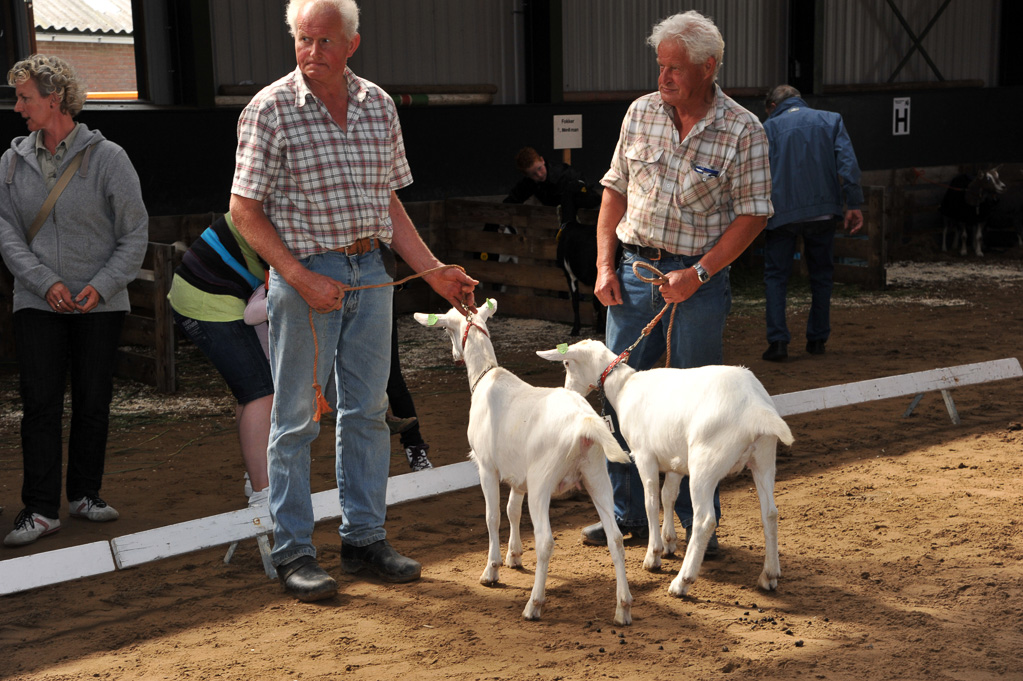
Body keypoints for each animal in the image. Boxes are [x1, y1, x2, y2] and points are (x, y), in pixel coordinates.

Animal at [413, 300, 630, 621]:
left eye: (445, 329)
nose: (454, 356)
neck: (487, 376)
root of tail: (585, 423)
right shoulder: (519, 474)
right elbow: (512, 510)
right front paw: (513, 556)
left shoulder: (487, 467)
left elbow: (493, 516)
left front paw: (491, 570)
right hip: (596, 475)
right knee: (615, 538)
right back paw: (623, 608)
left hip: (543, 480)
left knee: (546, 541)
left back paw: (534, 605)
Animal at [540, 337, 793, 593]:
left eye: (567, 363)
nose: (569, 392)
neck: (624, 387)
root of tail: (756, 407)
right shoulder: (675, 461)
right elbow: (668, 496)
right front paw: (669, 541)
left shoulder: (644, 457)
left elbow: (651, 502)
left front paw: (654, 554)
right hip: (764, 457)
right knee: (770, 513)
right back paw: (769, 575)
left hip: (706, 463)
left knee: (704, 521)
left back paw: (682, 581)